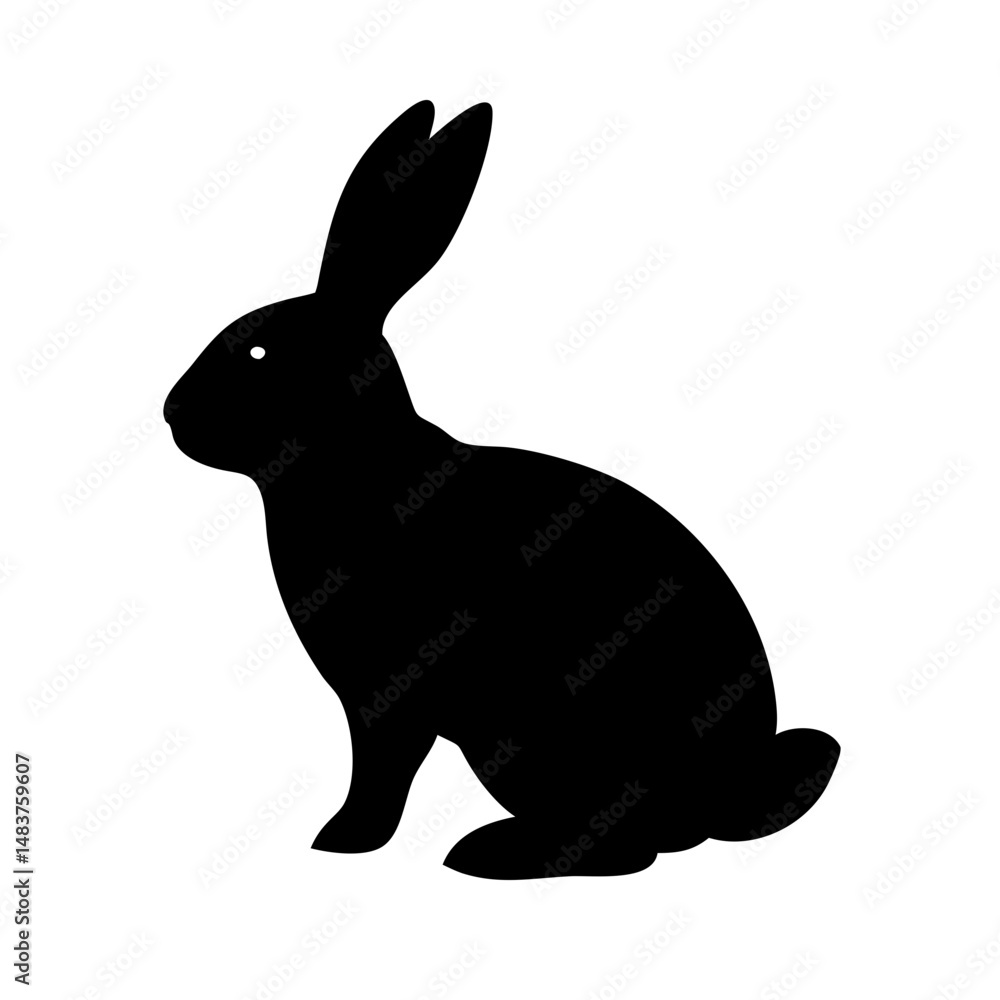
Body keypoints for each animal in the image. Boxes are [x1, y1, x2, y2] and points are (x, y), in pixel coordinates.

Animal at [165, 99, 839, 879]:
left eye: (257, 352)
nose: (171, 413)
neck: (353, 466)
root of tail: (720, 797)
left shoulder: (385, 696)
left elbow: (382, 769)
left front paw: (343, 838)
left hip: (526, 738)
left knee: (628, 848)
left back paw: (491, 853)